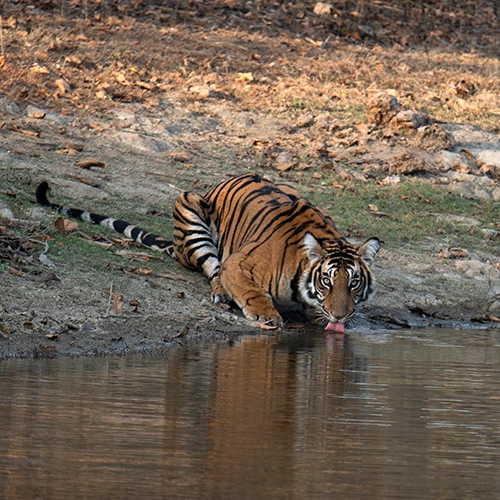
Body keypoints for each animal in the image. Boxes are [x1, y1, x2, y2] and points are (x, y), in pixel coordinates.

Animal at [36, 174, 378, 330]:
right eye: (327, 281)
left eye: (354, 283)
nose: (340, 315)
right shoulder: (238, 264)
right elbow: (252, 291)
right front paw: (266, 315)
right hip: (190, 210)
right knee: (212, 269)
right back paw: (222, 294)